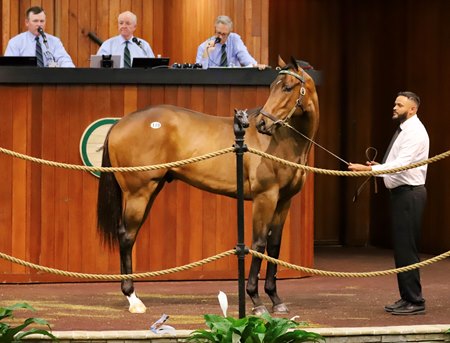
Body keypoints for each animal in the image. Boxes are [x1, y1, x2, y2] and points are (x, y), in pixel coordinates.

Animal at [96, 55, 318, 314]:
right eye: (273, 86)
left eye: (287, 87)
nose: (263, 123)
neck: (281, 142)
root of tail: (119, 123)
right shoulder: (265, 197)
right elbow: (259, 243)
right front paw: (256, 299)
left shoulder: (284, 200)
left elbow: (274, 245)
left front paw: (275, 299)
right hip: (138, 193)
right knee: (127, 236)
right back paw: (132, 297)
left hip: (151, 189)